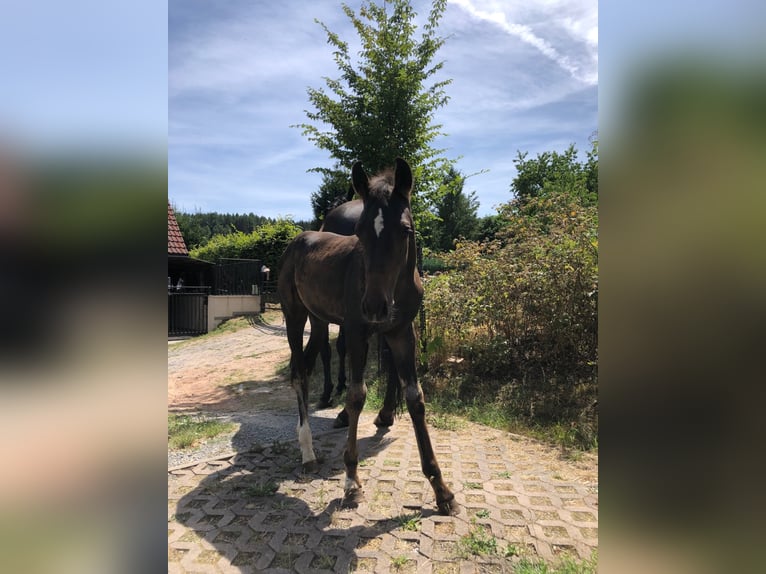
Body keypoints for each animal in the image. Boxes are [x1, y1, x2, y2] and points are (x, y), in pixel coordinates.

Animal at [280, 159, 460, 516]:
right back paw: (307, 452)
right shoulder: (357, 331)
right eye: (360, 231)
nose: (375, 306)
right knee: (298, 373)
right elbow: (356, 396)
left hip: (319, 320)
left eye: (405, 230)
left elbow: (415, 397)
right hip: (294, 315)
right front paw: (351, 482)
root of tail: (300, 239)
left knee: (306, 362)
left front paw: (442, 491)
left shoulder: (401, 332)